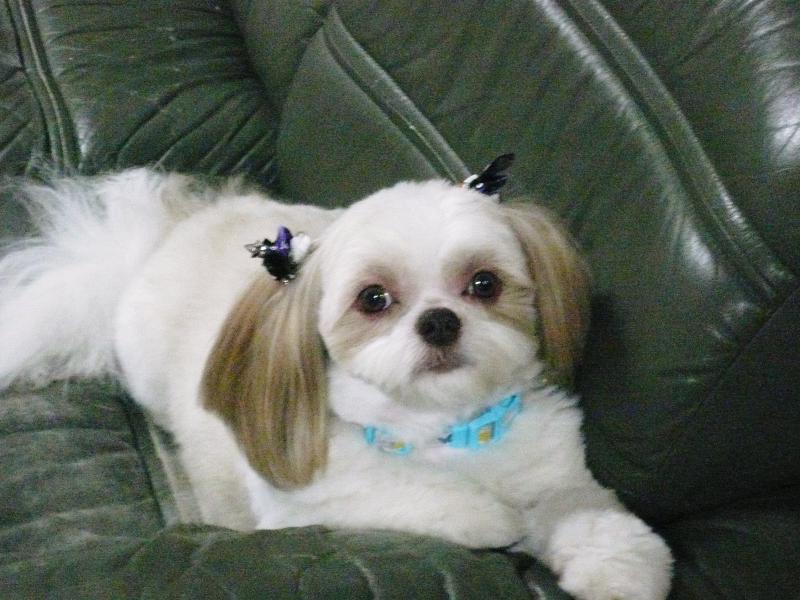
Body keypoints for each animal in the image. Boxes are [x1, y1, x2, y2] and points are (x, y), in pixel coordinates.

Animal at [0, 163, 672, 600]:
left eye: (484, 283)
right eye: (373, 298)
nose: (439, 321)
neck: (447, 430)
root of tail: (159, 240)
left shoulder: (555, 468)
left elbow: (586, 508)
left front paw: (622, 565)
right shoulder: (310, 499)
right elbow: (413, 493)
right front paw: (490, 515)